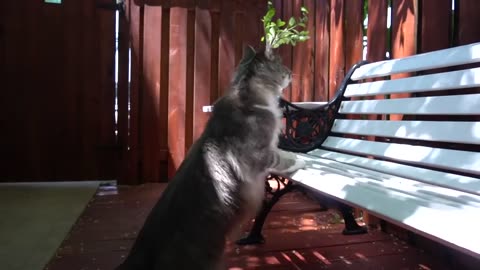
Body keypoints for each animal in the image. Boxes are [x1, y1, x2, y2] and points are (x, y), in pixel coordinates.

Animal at [114, 45, 306, 268]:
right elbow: (282, 158)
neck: (250, 97)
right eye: (282, 66)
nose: (291, 72)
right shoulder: (257, 154)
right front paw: (300, 160)